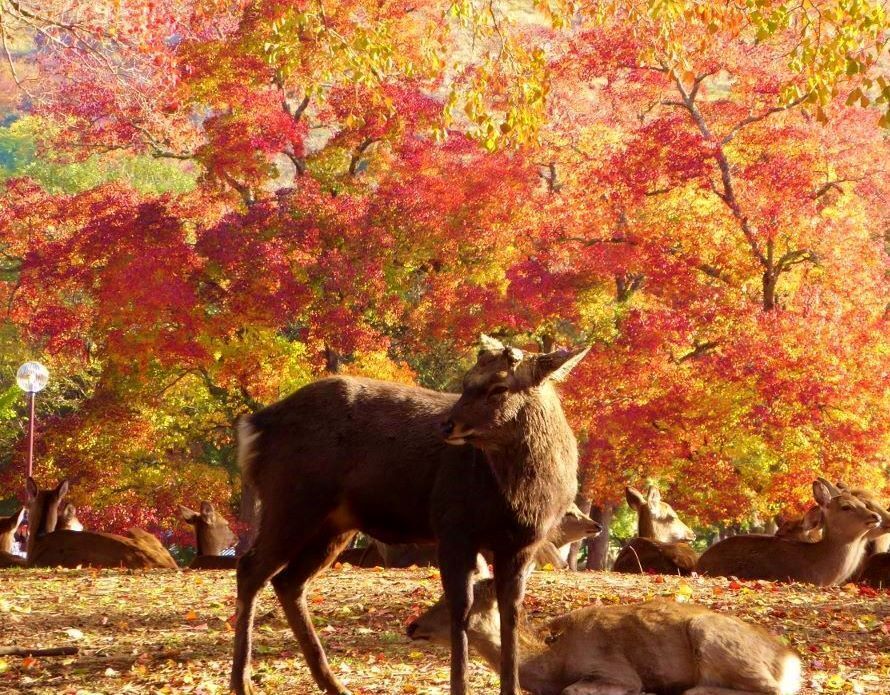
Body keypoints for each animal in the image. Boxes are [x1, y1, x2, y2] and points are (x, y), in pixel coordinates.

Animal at [231, 334, 588, 692]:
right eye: (465, 382)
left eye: (500, 387)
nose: (447, 426)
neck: (524, 500)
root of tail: (254, 426)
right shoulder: (452, 526)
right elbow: (461, 609)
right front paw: (459, 687)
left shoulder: (523, 544)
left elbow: (510, 614)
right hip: (291, 501)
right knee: (250, 569)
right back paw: (242, 682)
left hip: (335, 524)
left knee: (288, 581)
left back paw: (333, 683)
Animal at [406, 580, 800, 695]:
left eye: (457, 601)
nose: (412, 626)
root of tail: (792, 660)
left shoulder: (613, 668)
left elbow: (573, 690)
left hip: (711, 635)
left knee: (769, 689)